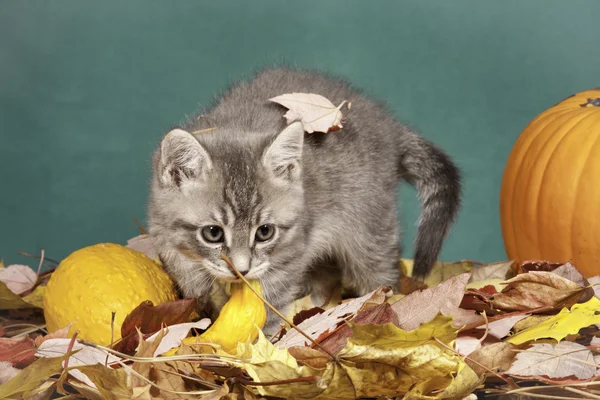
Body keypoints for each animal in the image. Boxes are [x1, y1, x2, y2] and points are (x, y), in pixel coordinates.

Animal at [148, 66, 462, 332]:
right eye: (213, 233)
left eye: (264, 232)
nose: (242, 270)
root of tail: (389, 127)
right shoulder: (162, 230)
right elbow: (186, 274)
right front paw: (201, 304)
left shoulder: (291, 252)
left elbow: (269, 302)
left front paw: (258, 344)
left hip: (369, 230)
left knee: (380, 274)